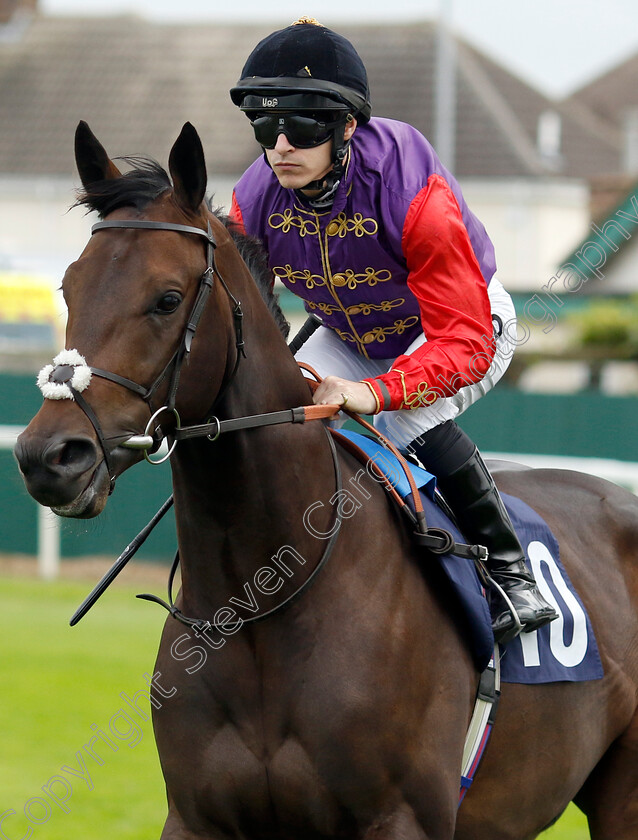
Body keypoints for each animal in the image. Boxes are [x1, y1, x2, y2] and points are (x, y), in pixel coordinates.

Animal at [13, 120, 638, 840]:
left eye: (167, 298)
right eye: (69, 287)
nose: (48, 456)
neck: (263, 602)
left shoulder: (402, 818)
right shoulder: (198, 818)